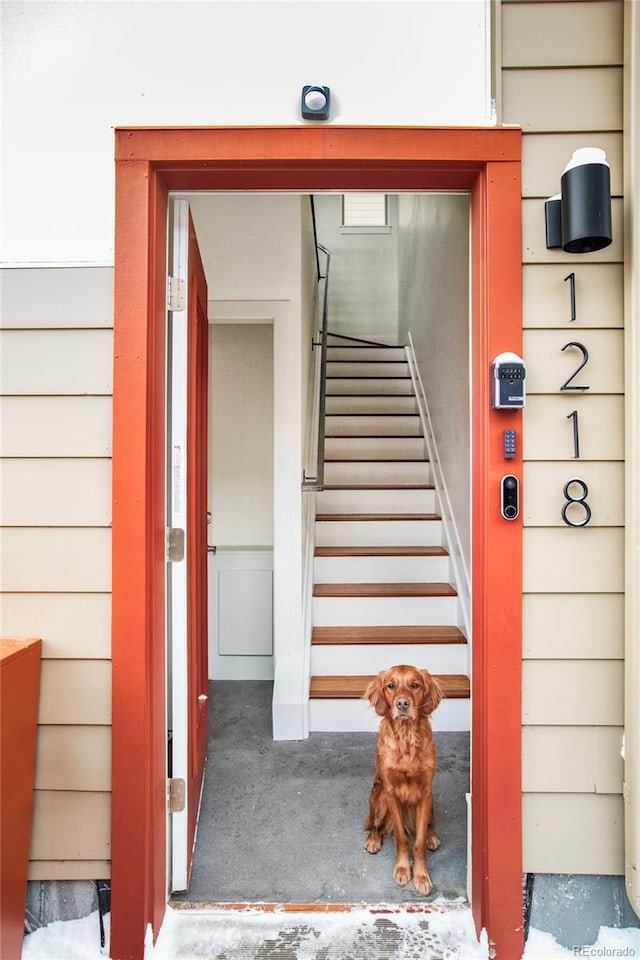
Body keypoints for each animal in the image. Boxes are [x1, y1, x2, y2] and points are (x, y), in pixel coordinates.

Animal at [362, 664, 442, 896]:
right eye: (391, 686)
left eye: (415, 685)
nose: (403, 704)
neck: (406, 737)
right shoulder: (390, 792)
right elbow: (402, 837)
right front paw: (403, 870)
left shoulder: (425, 793)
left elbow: (418, 842)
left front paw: (421, 876)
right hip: (378, 798)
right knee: (376, 824)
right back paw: (373, 840)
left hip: (431, 803)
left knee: (427, 826)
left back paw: (432, 836)